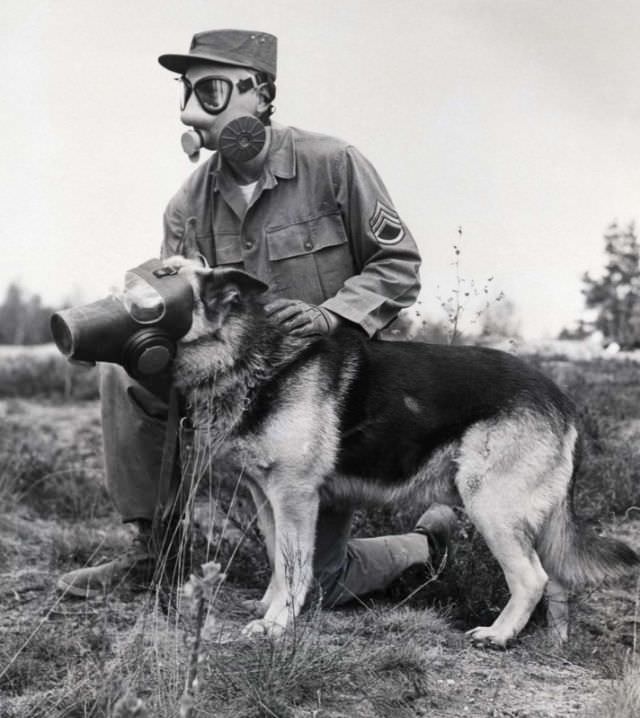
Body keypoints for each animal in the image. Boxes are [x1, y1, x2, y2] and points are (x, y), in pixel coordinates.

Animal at [164, 252, 636, 648]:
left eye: (165, 274)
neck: (248, 352)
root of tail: (562, 399)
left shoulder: (295, 497)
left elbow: (293, 565)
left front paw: (278, 624)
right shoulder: (266, 497)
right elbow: (278, 562)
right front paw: (269, 608)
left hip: (490, 507)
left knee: (532, 577)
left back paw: (498, 635)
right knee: (557, 579)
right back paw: (554, 641)